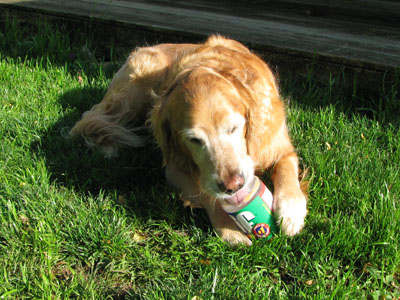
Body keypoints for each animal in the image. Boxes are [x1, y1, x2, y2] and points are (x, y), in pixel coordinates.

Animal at [70, 35, 308, 246]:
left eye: (234, 128)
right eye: (194, 140)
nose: (233, 187)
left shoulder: (279, 145)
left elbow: (287, 169)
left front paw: (291, 210)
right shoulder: (174, 167)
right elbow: (205, 193)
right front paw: (229, 229)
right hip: (134, 91)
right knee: (91, 118)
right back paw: (108, 146)